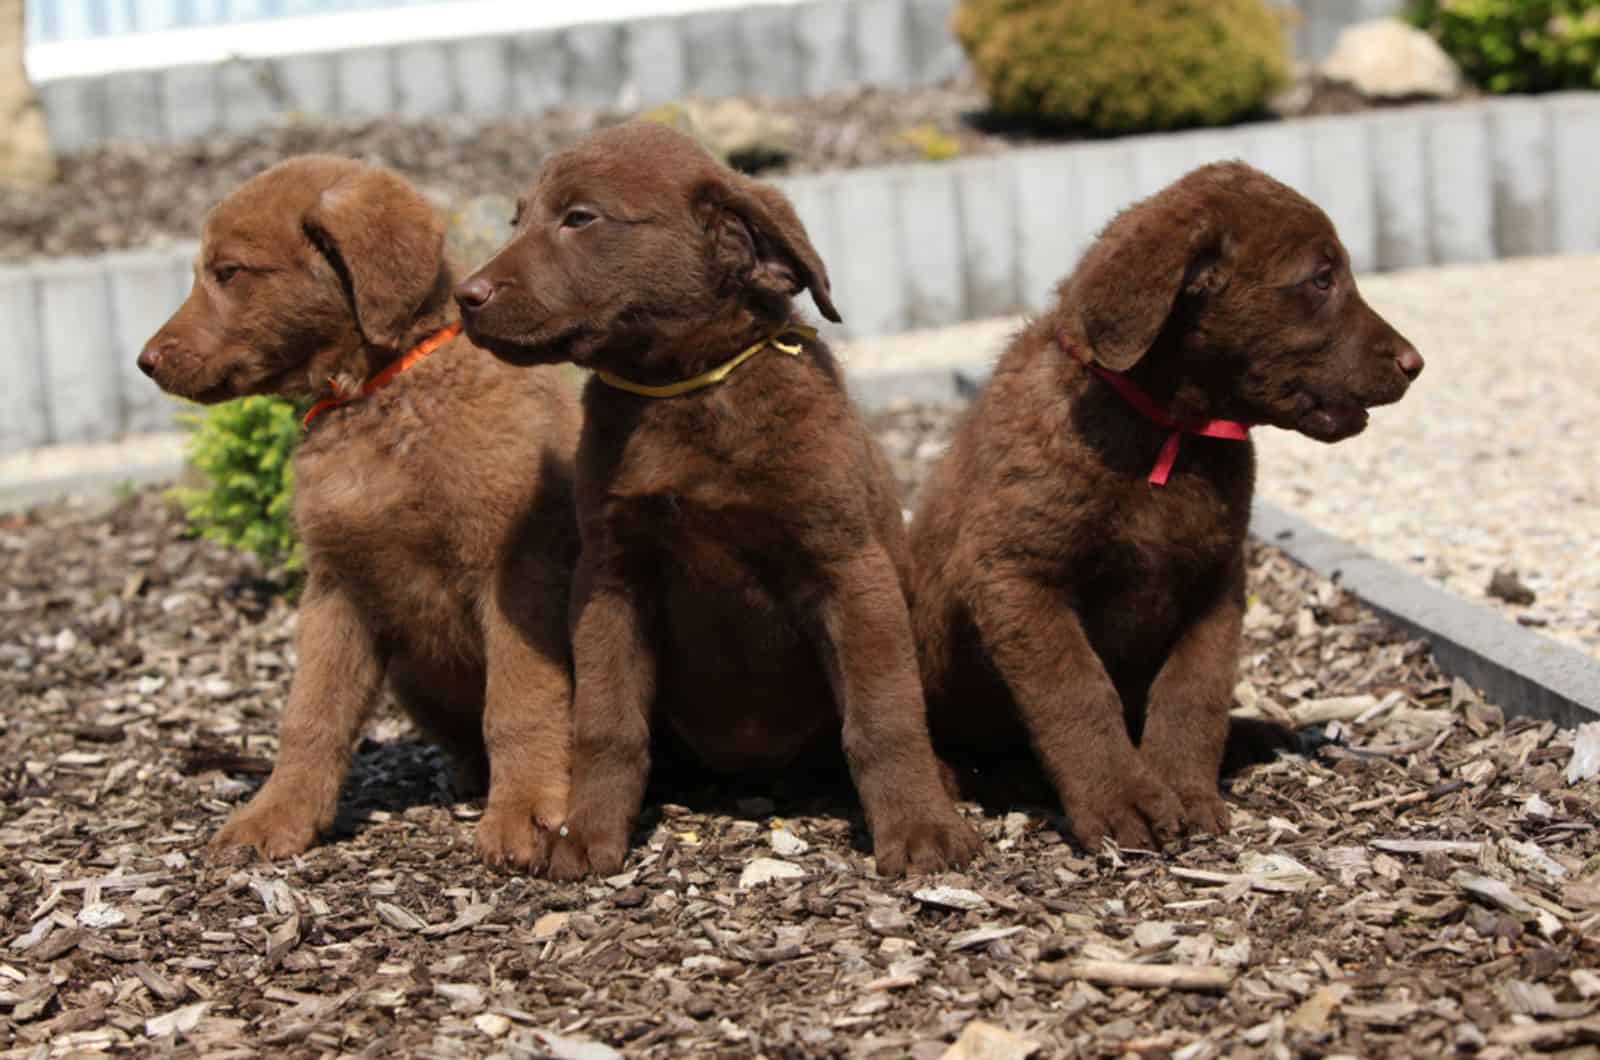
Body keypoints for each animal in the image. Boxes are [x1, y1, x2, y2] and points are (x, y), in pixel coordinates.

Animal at [137, 160, 576, 871]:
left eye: (229, 272)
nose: (145, 361)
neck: (379, 397)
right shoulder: (337, 586)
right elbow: (310, 716)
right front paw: (276, 816)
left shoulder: (514, 572)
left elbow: (519, 703)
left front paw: (526, 815)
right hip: (414, 679)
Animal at [451, 122, 972, 877]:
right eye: (518, 220)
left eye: (580, 218)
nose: (464, 295)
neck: (686, 392)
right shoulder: (612, 580)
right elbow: (607, 723)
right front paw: (587, 834)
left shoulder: (848, 566)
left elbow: (883, 715)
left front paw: (919, 826)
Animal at [915, 160, 1427, 858]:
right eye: (1321, 278)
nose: (1415, 363)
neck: (1166, 432)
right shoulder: (1014, 575)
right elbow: (1077, 689)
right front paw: (1121, 799)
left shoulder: (1217, 580)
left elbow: (1193, 691)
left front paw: (1184, 787)